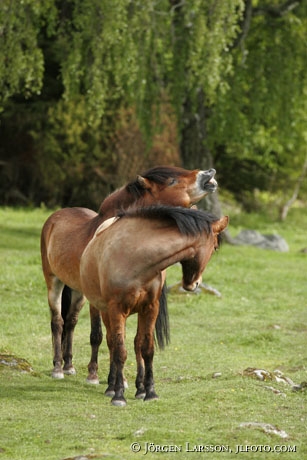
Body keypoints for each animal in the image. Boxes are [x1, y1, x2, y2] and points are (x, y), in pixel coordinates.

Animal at [41, 165, 218, 380]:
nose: (208, 172)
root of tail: (54, 218)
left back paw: (68, 365)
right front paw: (95, 375)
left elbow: (129, 340)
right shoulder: (101, 300)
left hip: (77, 292)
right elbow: (100, 335)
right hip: (54, 282)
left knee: (71, 321)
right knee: (58, 321)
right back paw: (58, 368)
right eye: (172, 181)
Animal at [79, 206, 229, 406]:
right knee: (112, 343)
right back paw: (111, 386)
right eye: (215, 247)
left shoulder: (150, 308)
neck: (135, 259)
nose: (195, 284)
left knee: (135, 344)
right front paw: (119, 395)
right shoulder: (116, 309)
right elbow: (120, 351)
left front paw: (149, 392)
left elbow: (147, 349)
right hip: (105, 311)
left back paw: (139, 388)